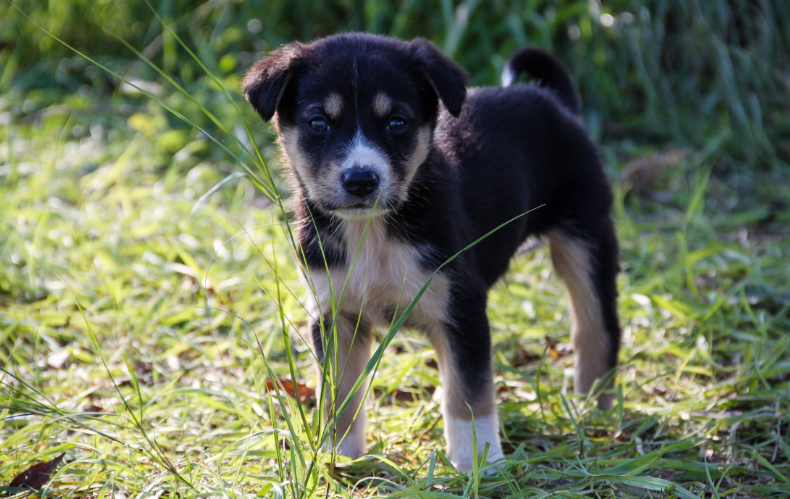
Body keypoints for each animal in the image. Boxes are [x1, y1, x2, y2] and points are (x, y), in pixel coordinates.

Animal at [244, 35, 620, 472]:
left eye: (397, 123)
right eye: (318, 123)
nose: (361, 180)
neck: (374, 232)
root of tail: (554, 103)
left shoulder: (462, 308)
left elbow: (469, 395)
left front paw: (478, 461)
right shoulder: (335, 315)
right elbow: (341, 395)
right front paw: (341, 456)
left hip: (586, 235)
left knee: (596, 326)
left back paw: (594, 408)